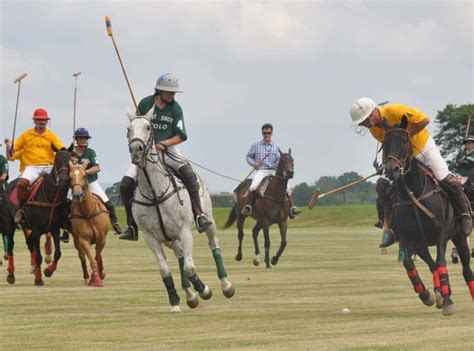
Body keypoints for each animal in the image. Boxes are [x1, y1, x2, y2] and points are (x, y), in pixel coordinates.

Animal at [4, 151, 70, 286]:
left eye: (70, 160)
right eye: (56, 160)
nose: (64, 181)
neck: (50, 199)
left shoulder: (54, 229)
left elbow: (58, 253)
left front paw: (48, 271)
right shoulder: (36, 229)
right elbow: (39, 256)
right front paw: (39, 279)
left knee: (29, 244)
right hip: (9, 223)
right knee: (11, 246)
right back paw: (11, 275)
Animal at [384, 117, 472, 316]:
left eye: (404, 141)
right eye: (384, 143)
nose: (392, 170)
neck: (413, 192)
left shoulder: (441, 234)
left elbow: (441, 262)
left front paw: (447, 302)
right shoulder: (407, 236)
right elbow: (408, 263)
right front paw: (427, 295)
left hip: (458, 235)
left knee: (466, 268)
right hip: (420, 243)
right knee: (430, 264)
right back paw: (439, 292)